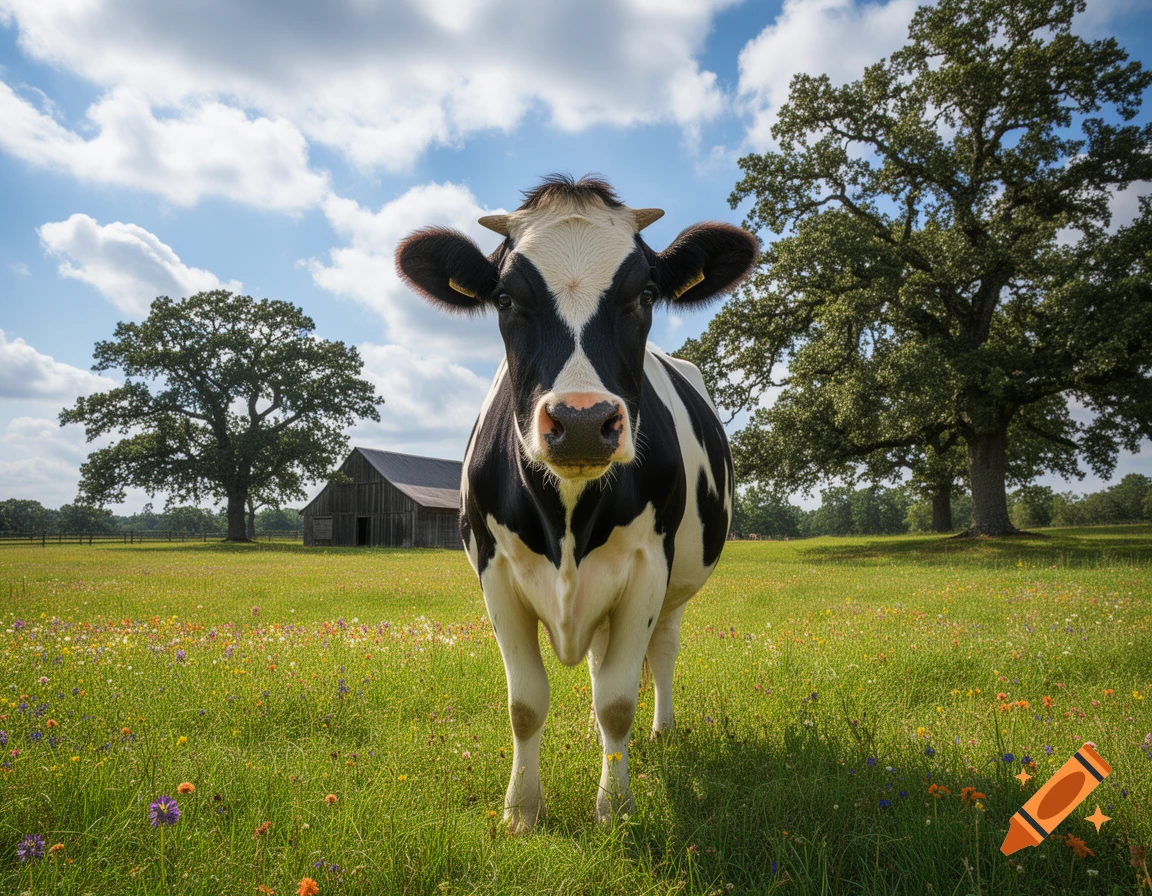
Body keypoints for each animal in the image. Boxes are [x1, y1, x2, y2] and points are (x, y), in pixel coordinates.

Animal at [396, 175, 758, 832]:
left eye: (645, 294)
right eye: (505, 299)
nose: (583, 422)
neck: (566, 514)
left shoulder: (647, 569)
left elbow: (618, 700)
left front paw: (614, 808)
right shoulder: (495, 571)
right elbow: (526, 703)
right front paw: (521, 812)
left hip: (675, 586)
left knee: (661, 652)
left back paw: (662, 730)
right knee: (595, 660)